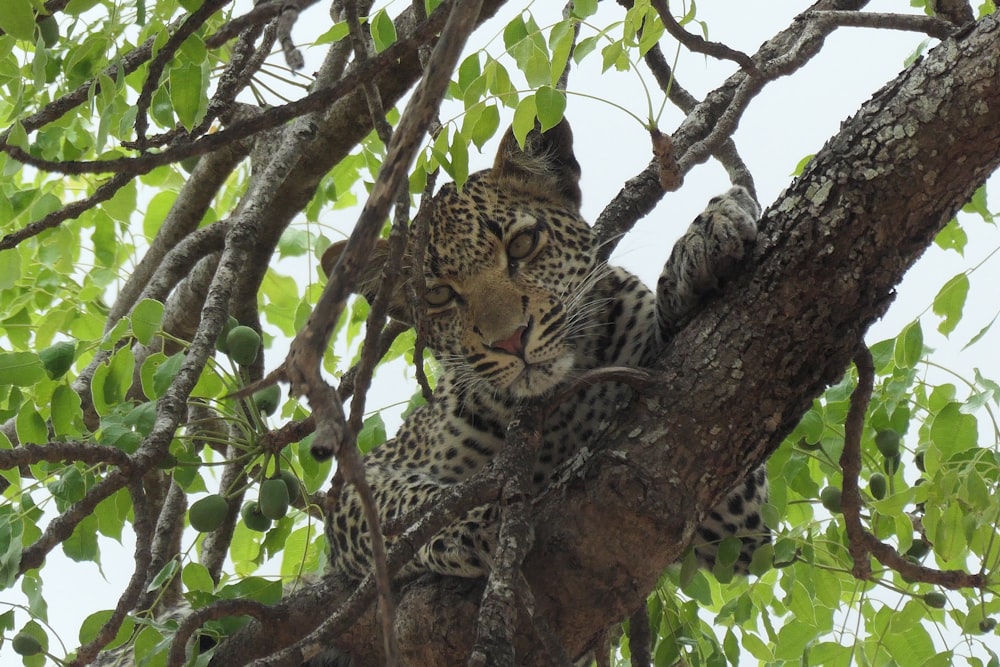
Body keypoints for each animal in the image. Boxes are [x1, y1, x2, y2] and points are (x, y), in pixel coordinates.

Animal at [316, 117, 768, 588]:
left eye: (521, 244)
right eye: (438, 295)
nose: (511, 340)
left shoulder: (734, 517)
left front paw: (702, 239)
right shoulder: (363, 480)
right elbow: (402, 504)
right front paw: (474, 523)